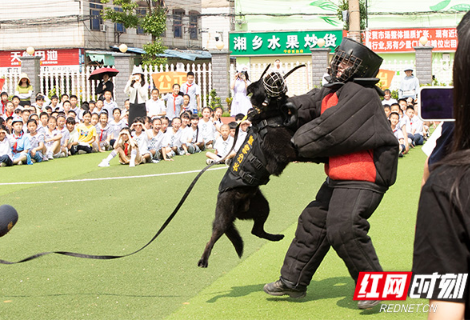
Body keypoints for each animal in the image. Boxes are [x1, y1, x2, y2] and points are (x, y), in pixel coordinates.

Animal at [196, 64, 302, 268]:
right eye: (264, 79)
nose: (275, 72)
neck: (268, 113)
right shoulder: (283, 153)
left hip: (262, 207)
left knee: (256, 231)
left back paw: (275, 237)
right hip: (225, 218)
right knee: (212, 237)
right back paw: (203, 259)